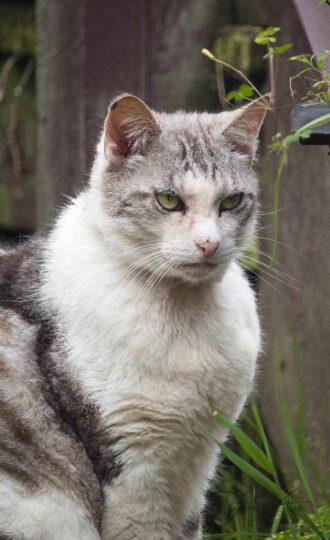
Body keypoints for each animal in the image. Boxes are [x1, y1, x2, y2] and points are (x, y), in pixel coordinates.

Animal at [0, 95, 268, 536]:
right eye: (169, 200)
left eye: (230, 201)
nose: (209, 243)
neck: (183, 310)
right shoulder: (131, 461)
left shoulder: (199, 462)